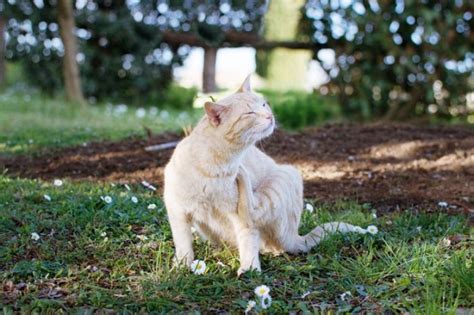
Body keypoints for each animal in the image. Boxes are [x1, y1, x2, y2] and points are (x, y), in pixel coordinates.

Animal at [162, 75, 360, 276]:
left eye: (264, 105)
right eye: (250, 113)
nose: (269, 116)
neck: (219, 166)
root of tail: (295, 236)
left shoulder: (239, 219)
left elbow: (248, 240)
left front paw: (249, 270)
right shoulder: (177, 211)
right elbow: (183, 244)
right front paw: (182, 266)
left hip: (287, 174)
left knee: (254, 214)